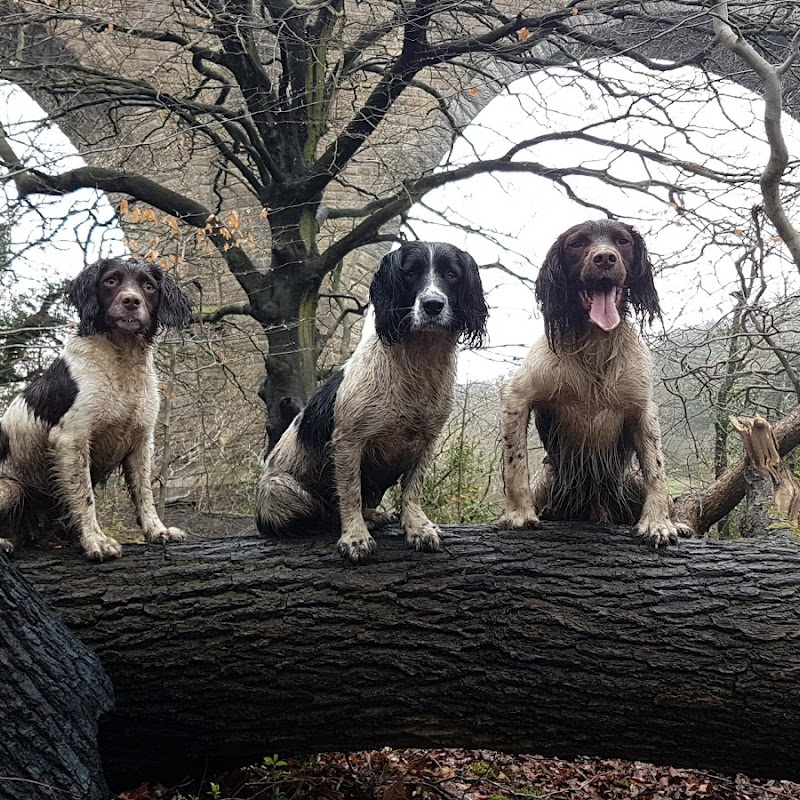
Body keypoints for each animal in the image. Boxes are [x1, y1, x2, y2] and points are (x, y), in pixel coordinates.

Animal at [0, 260, 193, 560]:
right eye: (110, 281)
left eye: (148, 286)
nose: (131, 301)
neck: (122, 359)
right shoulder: (71, 439)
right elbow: (84, 496)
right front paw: (96, 541)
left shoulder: (141, 440)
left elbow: (144, 492)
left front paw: (157, 530)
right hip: (10, 487)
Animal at [256, 242, 488, 564]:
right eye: (411, 273)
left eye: (451, 274)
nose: (432, 305)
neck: (418, 362)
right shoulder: (347, 443)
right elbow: (350, 492)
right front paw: (355, 538)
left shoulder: (426, 441)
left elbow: (412, 489)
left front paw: (418, 527)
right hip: (276, 488)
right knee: (322, 513)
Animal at [496, 216, 692, 548]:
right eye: (577, 244)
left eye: (622, 241)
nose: (604, 258)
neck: (595, 346)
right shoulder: (517, 396)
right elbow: (515, 463)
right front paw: (519, 513)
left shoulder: (644, 409)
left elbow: (657, 471)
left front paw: (658, 523)